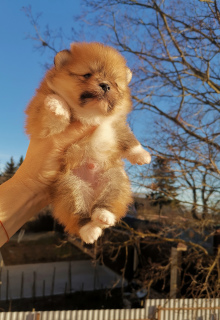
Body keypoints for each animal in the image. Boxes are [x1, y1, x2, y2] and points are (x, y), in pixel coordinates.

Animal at [24, 42, 150, 242]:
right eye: (87, 75)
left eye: (115, 83)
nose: (105, 85)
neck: (91, 114)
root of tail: (92, 194)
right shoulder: (40, 124)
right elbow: (50, 115)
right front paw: (57, 105)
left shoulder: (116, 124)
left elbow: (128, 138)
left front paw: (142, 155)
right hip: (69, 186)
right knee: (79, 214)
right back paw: (90, 231)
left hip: (114, 178)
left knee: (107, 203)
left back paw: (103, 216)